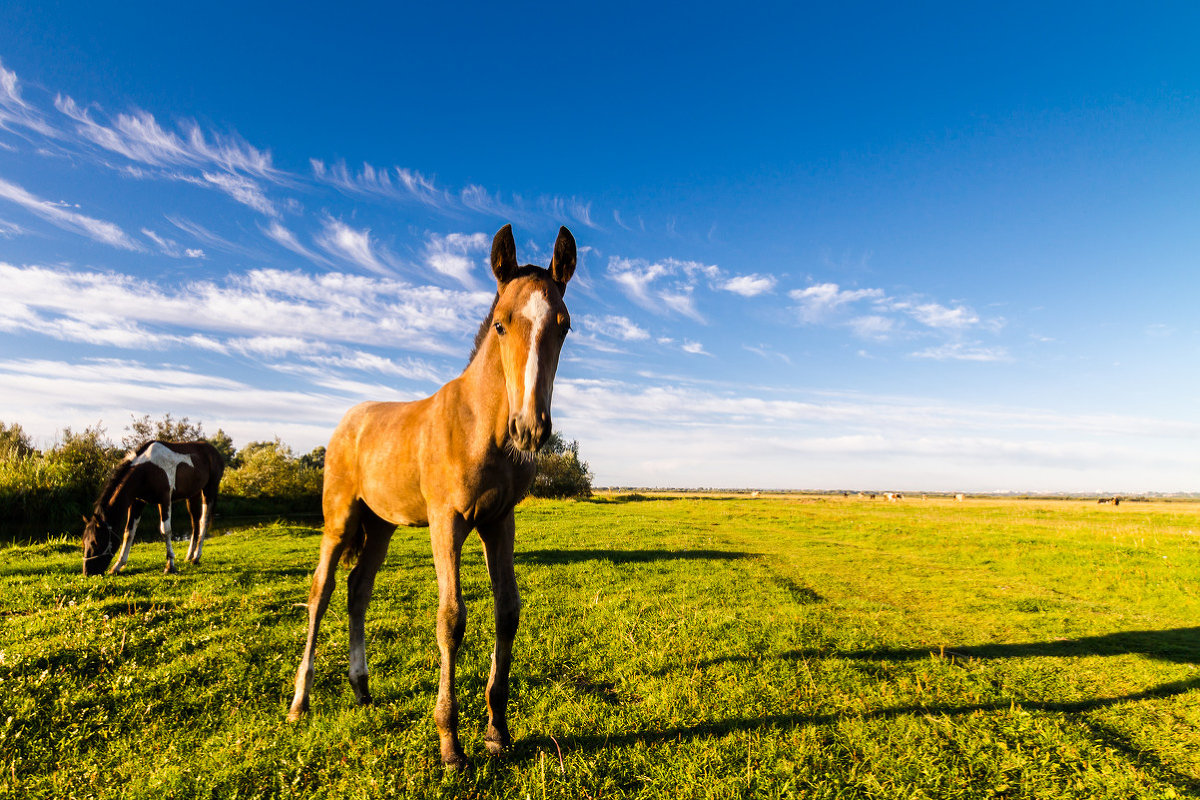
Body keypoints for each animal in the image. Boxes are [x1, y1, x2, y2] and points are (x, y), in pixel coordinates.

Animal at [82, 438, 225, 575]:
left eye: (96, 542)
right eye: (84, 541)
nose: (87, 572)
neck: (146, 470)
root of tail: (214, 452)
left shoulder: (165, 499)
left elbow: (166, 530)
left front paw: (170, 566)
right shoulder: (137, 502)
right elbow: (129, 532)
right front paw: (117, 566)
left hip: (210, 489)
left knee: (204, 521)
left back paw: (196, 557)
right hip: (193, 495)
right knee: (195, 523)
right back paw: (189, 556)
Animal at [285, 224, 576, 767]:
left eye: (564, 326)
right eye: (501, 325)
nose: (529, 429)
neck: (480, 425)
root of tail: (346, 422)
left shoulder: (499, 521)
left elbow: (507, 610)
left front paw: (497, 732)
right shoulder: (448, 520)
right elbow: (451, 619)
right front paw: (450, 743)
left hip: (380, 526)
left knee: (358, 589)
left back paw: (362, 688)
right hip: (340, 519)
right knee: (321, 592)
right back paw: (299, 701)